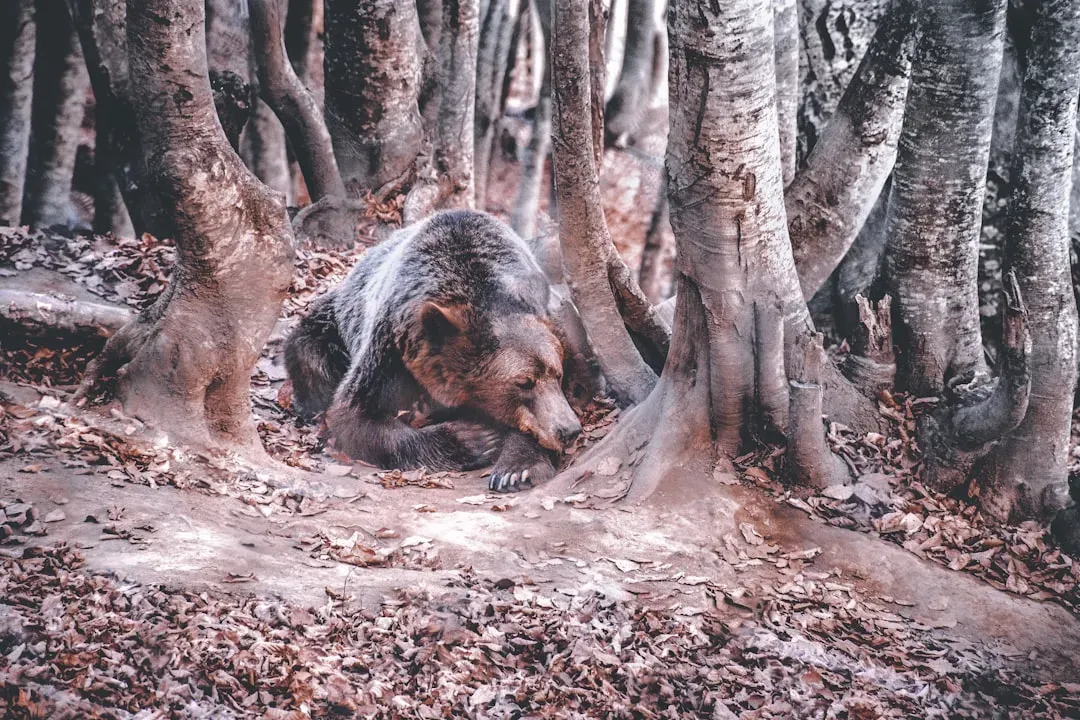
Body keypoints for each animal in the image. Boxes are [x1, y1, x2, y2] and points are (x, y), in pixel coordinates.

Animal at [284, 210, 583, 492]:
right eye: (523, 382)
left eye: (557, 373)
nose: (569, 430)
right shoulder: (390, 347)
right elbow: (354, 415)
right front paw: (475, 438)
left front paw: (516, 470)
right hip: (330, 323)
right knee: (308, 353)